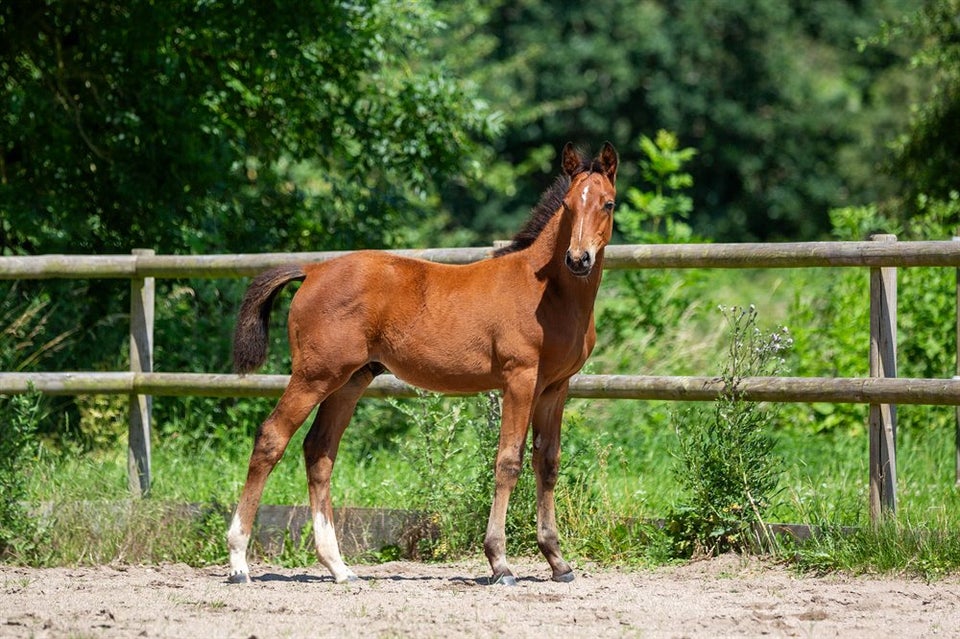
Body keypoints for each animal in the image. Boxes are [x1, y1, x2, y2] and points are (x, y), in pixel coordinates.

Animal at [229, 142, 620, 588]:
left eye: (607, 203)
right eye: (569, 205)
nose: (578, 259)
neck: (548, 291)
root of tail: (312, 270)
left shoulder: (556, 387)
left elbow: (548, 462)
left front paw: (558, 561)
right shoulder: (519, 379)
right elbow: (507, 462)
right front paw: (500, 563)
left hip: (350, 380)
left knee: (319, 451)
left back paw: (339, 567)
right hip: (315, 375)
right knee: (272, 438)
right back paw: (239, 562)